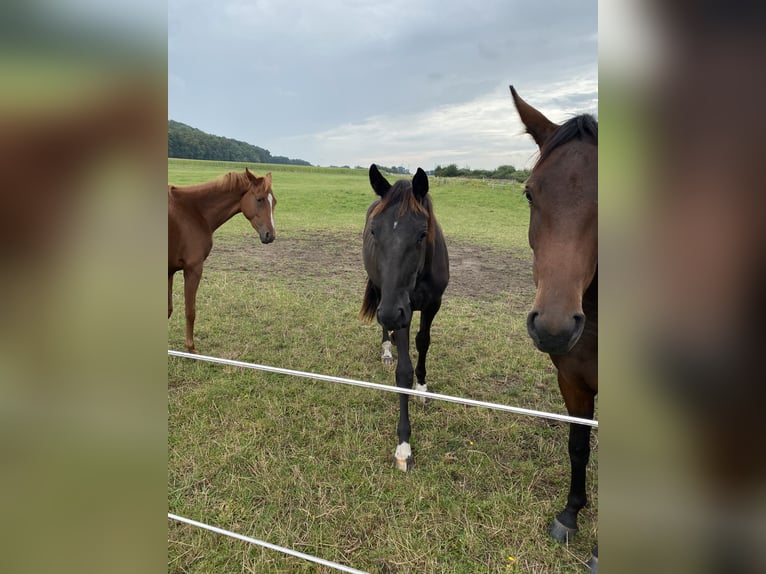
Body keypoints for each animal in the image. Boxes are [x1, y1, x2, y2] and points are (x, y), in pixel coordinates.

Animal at [170, 169, 278, 354]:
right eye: (259, 199)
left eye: (274, 202)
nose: (269, 235)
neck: (193, 211)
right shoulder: (193, 268)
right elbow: (190, 311)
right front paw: (191, 349)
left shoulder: (169, 270)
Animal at [360, 164, 450, 474]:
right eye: (375, 231)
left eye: (422, 234)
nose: (390, 313)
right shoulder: (403, 312)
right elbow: (402, 372)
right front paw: (403, 447)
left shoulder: (432, 305)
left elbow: (424, 342)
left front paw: (422, 386)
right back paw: (387, 349)